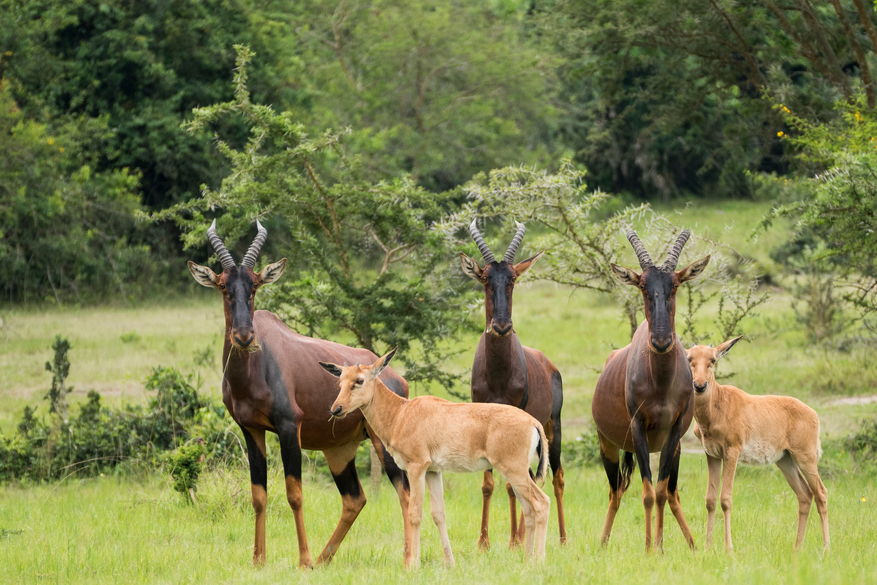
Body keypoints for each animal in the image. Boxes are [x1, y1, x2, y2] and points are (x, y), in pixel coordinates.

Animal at [187, 219, 410, 564]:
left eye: (255, 285)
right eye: (223, 286)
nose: (244, 336)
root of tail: (394, 377)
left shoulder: (289, 427)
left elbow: (294, 494)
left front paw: (302, 561)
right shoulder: (251, 430)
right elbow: (259, 495)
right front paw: (258, 561)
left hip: (382, 442)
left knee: (405, 490)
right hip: (339, 449)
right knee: (355, 499)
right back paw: (323, 561)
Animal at [318, 346, 548, 564]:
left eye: (359, 380)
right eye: (340, 381)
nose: (336, 409)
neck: (401, 412)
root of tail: (534, 423)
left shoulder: (416, 467)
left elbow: (415, 513)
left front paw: (413, 564)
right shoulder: (433, 472)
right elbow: (439, 514)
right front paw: (449, 563)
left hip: (514, 471)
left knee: (541, 503)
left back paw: (538, 561)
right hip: (515, 474)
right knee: (528, 510)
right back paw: (527, 560)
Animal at [458, 220, 568, 548]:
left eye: (513, 279)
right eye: (484, 278)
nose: (502, 326)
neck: (499, 374)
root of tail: (549, 364)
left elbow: (513, 485)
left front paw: (515, 541)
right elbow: (488, 483)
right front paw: (483, 542)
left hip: (552, 428)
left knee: (554, 477)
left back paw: (560, 538)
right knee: (531, 477)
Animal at [592, 229, 708, 552]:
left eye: (675, 284)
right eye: (643, 285)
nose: (660, 341)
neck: (661, 383)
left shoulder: (674, 430)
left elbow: (660, 491)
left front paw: (659, 547)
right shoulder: (638, 427)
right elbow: (645, 492)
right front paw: (648, 550)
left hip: (676, 447)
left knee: (670, 493)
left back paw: (692, 545)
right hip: (608, 444)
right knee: (615, 492)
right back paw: (602, 543)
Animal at [684, 338, 828, 552]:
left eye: (712, 359)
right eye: (690, 358)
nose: (699, 385)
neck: (718, 404)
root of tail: (813, 413)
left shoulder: (732, 452)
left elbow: (725, 499)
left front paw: (729, 548)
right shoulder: (712, 455)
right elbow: (710, 500)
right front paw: (708, 547)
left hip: (806, 458)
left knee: (821, 493)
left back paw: (826, 548)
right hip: (785, 460)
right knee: (804, 495)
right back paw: (797, 548)